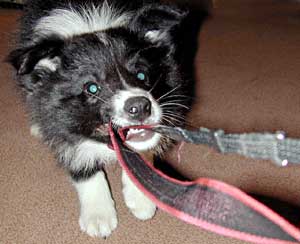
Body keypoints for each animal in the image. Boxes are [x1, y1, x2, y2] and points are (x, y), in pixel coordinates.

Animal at [8, 0, 207, 238]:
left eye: (142, 75)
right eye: (92, 88)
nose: (140, 107)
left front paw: (140, 195)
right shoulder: (58, 118)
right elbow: (77, 158)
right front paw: (98, 215)